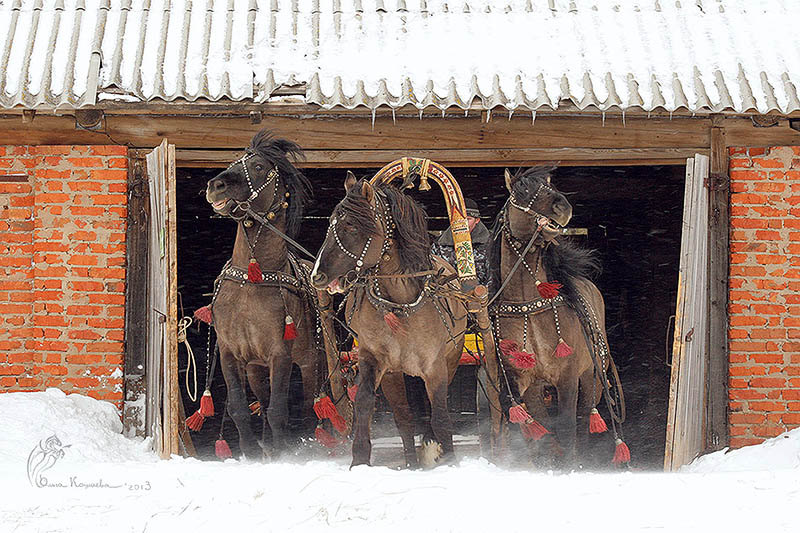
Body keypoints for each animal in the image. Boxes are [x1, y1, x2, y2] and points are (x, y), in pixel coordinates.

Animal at [203, 130, 322, 458]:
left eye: (257, 167)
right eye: (234, 161)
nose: (215, 186)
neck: (251, 282)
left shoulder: (280, 354)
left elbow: (278, 409)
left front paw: (282, 452)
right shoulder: (231, 353)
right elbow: (239, 407)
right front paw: (251, 452)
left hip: (310, 361)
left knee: (310, 404)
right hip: (256, 369)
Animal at [308, 174, 468, 466]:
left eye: (350, 225)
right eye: (330, 223)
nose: (317, 276)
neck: (399, 303)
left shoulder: (436, 366)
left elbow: (440, 415)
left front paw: (447, 457)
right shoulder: (375, 359)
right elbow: (365, 402)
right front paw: (360, 459)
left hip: (452, 356)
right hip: (394, 374)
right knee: (404, 416)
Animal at [488, 166, 624, 466]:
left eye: (549, 184)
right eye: (522, 191)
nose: (563, 208)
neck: (530, 304)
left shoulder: (568, 378)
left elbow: (567, 426)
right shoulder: (527, 383)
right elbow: (539, 429)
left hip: (592, 378)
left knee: (585, 417)